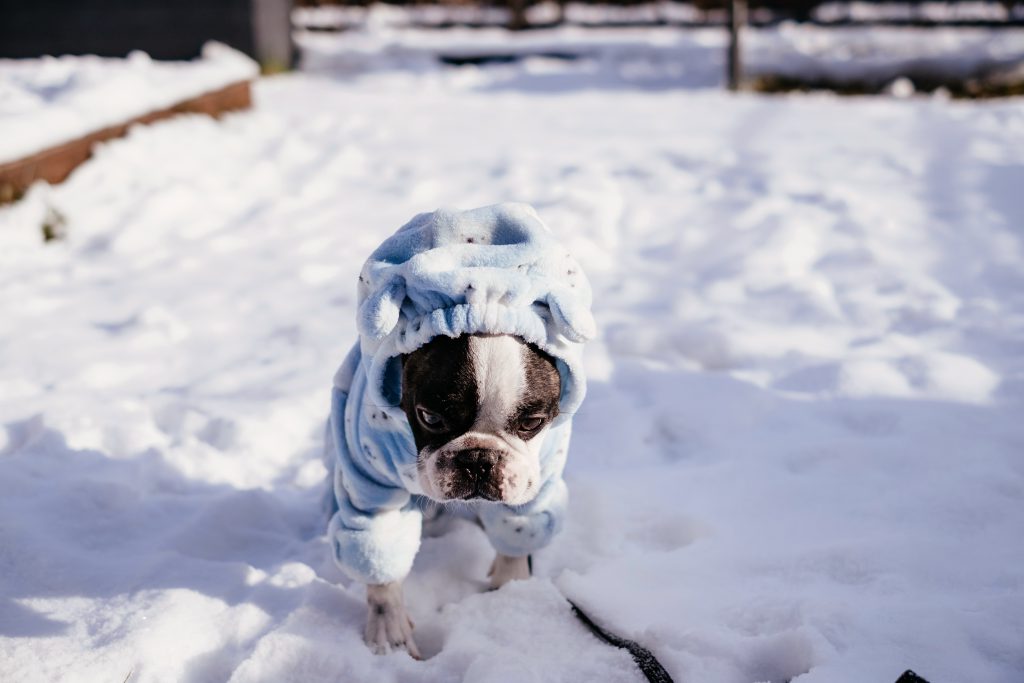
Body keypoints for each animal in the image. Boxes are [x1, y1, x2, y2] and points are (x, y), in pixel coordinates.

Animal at [323, 202, 598, 655]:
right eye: (430, 418)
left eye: (532, 422)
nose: (478, 459)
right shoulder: (370, 483)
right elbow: (380, 554)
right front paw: (389, 632)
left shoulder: (534, 478)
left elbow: (517, 531)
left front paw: (511, 594)